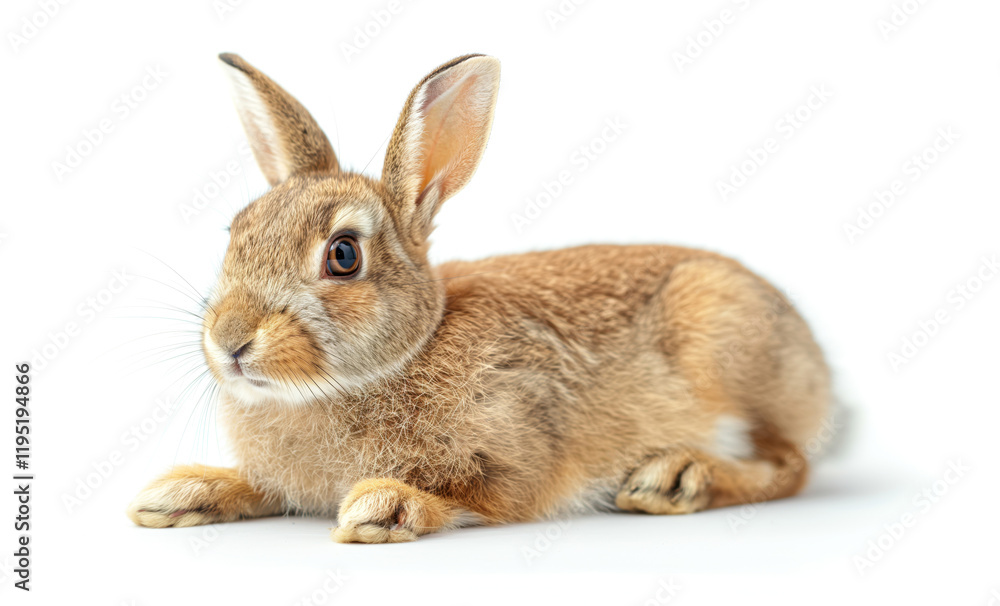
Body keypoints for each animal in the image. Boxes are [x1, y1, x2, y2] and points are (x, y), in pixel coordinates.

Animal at [127, 52, 833, 544]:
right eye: (236, 232)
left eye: (343, 256)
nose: (230, 340)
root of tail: (820, 374)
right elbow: (259, 487)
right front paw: (183, 493)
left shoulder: (516, 456)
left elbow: (482, 494)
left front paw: (388, 505)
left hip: (723, 350)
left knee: (790, 464)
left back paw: (679, 477)